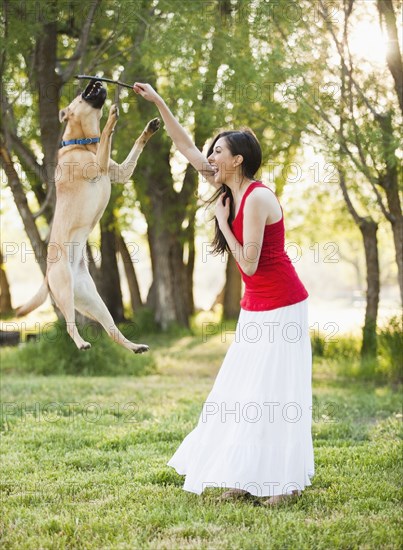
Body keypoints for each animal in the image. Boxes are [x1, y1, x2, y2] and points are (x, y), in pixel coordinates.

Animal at [17, 80, 160, 354]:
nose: (95, 82)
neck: (82, 143)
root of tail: (48, 276)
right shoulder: (98, 165)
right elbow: (106, 135)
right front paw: (112, 116)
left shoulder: (120, 172)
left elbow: (129, 148)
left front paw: (149, 129)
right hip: (64, 289)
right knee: (70, 326)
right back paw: (82, 343)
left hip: (95, 303)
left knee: (113, 331)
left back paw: (135, 346)